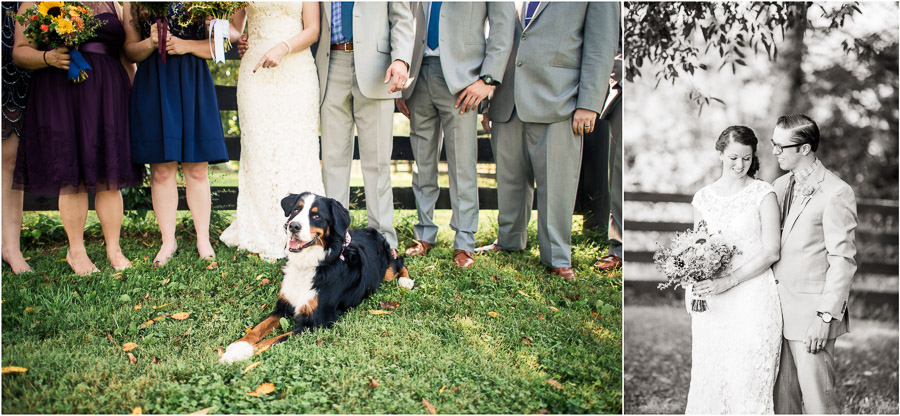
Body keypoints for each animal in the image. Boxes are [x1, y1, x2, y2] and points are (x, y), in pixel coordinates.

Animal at [220, 193, 414, 364]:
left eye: (316, 216)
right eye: (295, 210)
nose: (293, 226)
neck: (309, 265)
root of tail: (371, 231)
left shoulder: (315, 323)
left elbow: (273, 340)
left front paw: (238, 354)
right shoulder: (283, 306)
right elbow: (259, 328)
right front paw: (239, 344)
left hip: (387, 271)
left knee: (399, 261)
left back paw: (406, 281)